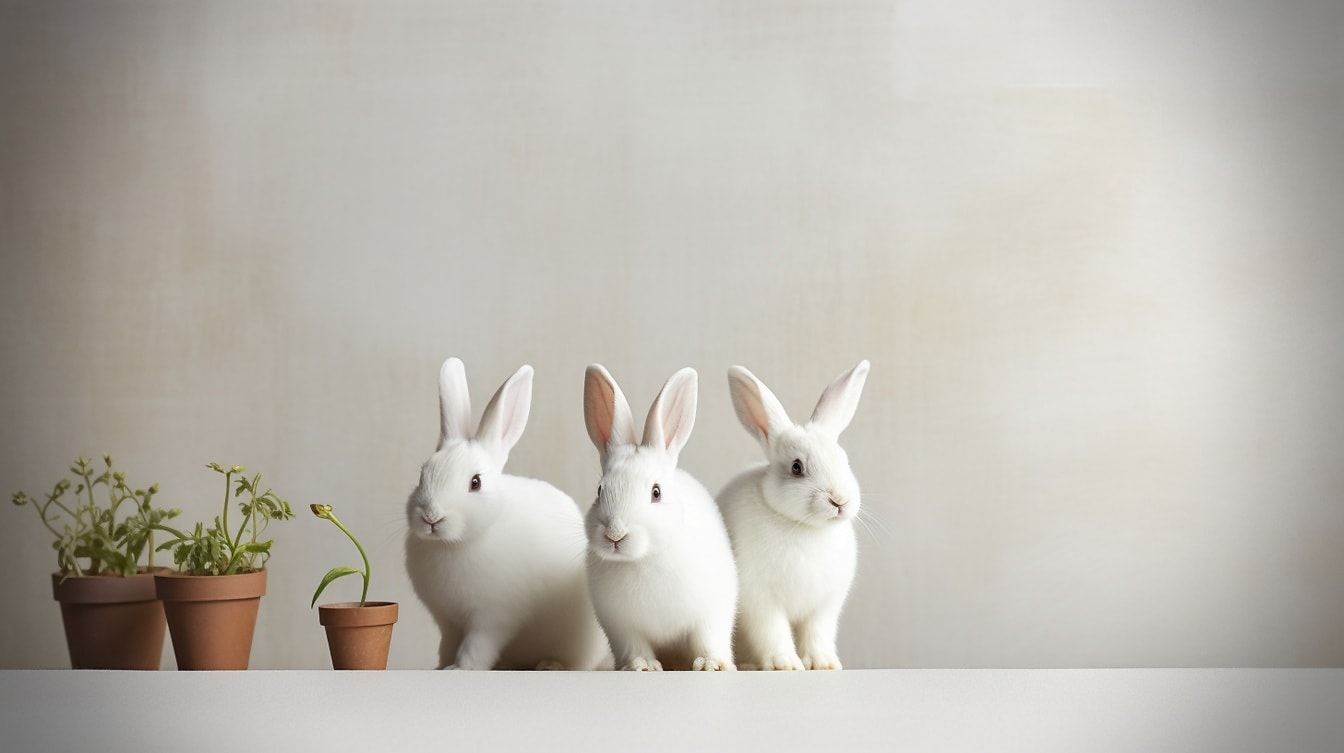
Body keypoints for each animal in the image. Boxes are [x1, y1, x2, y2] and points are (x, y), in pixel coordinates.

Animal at [405, 357, 608, 670]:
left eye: (475, 483)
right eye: (422, 475)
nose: (431, 517)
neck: (454, 544)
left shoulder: (491, 617)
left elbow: (476, 646)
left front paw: (459, 668)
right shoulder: (448, 623)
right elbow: (448, 645)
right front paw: (441, 667)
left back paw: (550, 665)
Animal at [582, 365, 738, 671]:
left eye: (656, 492)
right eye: (599, 490)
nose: (615, 534)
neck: (643, 558)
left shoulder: (711, 611)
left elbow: (709, 639)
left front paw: (711, 665)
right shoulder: (621, 627)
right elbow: (635, 647)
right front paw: (641, 665)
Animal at [716, 360, 870, 671]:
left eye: (844, 460)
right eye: (797, 468)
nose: (839, 500)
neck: (805, 527)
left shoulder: (824, 607)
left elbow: (817, 634)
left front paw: (824, 664)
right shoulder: (762, 603)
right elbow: (773, 632)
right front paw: (785, 664)